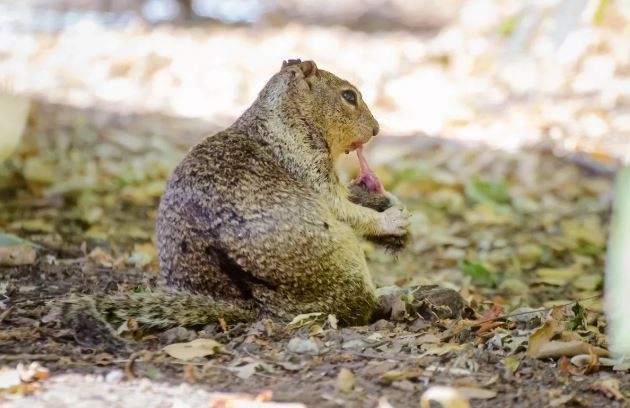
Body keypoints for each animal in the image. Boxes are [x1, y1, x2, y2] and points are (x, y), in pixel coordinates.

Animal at [59, 59, 464, 348]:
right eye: (349, 96)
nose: (378, 129)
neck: (285, 117)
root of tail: (247, 305)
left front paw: (383, 200)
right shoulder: (308, 167)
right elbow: (344, 209)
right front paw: (392, 220)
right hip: (343, 260)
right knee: (357, 308)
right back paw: (392, 297)